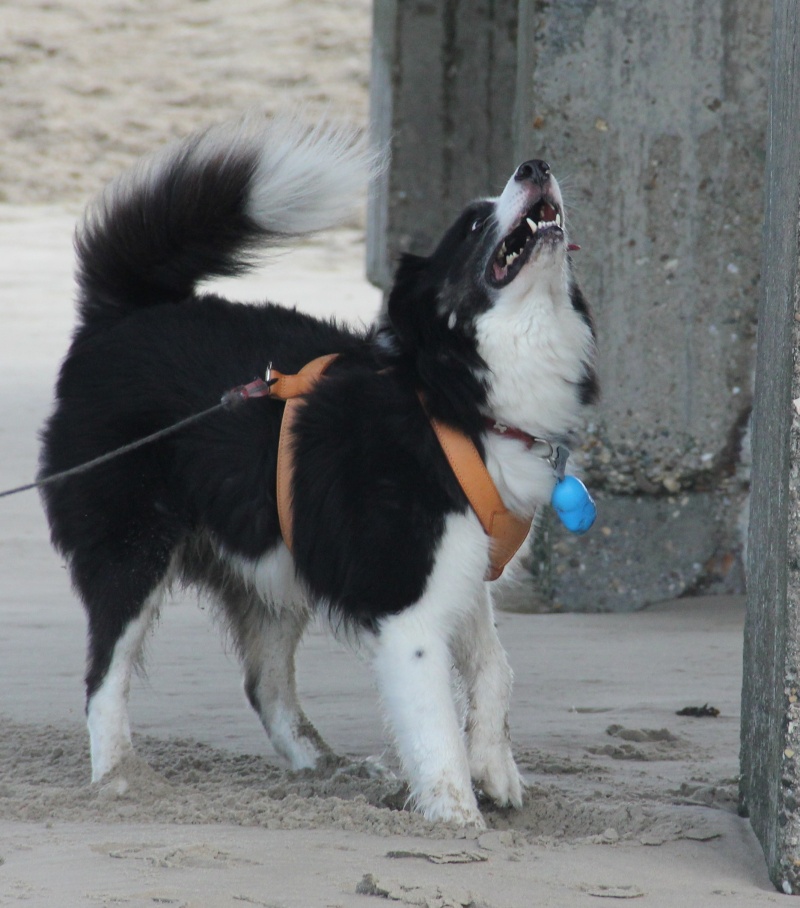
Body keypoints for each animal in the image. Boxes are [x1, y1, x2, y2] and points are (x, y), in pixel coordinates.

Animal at [40, 110, 596, 828]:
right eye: (473, 225)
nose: (534, 166)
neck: (449, 396)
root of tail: (122, 317)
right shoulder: (407, 604)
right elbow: (434, 722)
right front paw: (458, 820)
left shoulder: (462, 564)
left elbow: (494, 667)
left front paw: (494, 771)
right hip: (133, 549)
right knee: (103, 675)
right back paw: (117, 778)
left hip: (273, 564)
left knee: (265, 685)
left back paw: (328, 768)